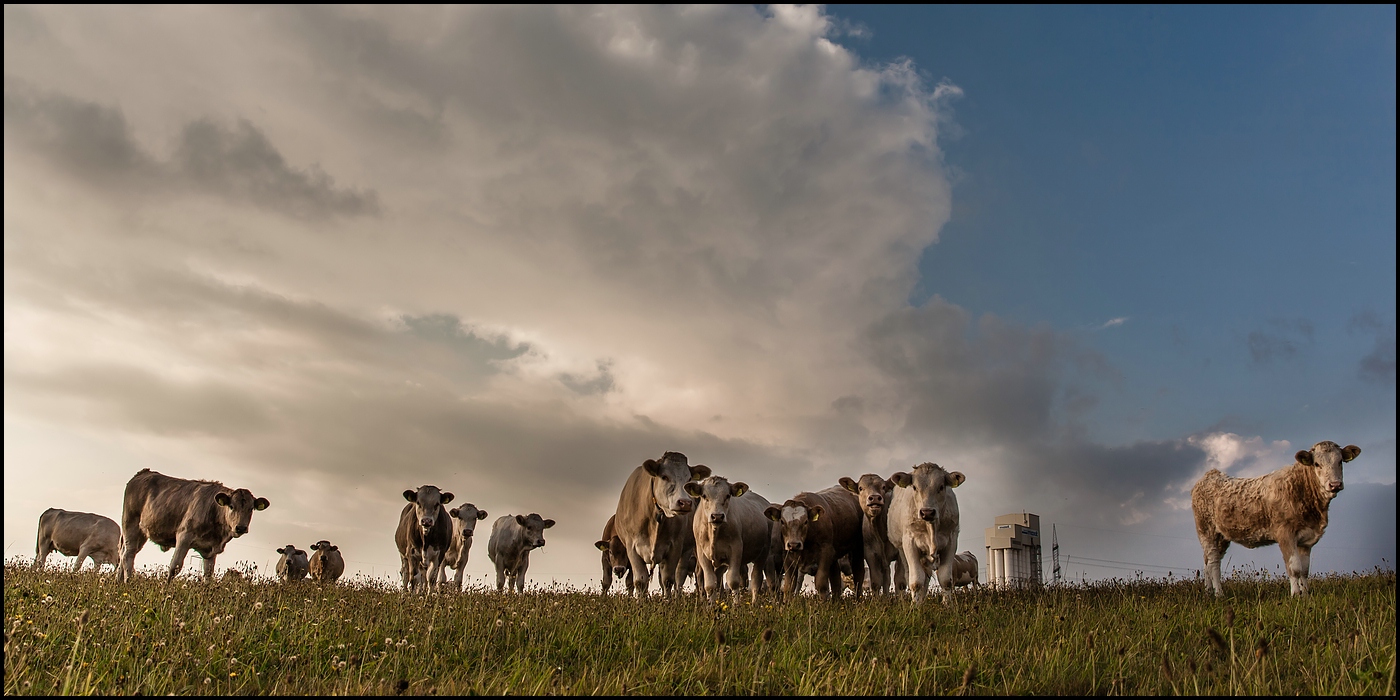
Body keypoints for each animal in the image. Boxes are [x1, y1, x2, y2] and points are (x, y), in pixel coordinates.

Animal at [118, 470, 270, 585]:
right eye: (231, 506)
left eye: (251, 509)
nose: (241, 528)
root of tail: (144, 473)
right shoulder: (184, 536)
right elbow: (175, 567)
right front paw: (165, 590)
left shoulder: (211, 549)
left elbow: (208, 575)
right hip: (130, 524)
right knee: (128, 555)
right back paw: (128, 582)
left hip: (141, 533)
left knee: (123, 554)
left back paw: (118, 583)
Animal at [610, 453, 711, 596]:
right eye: (664, 476)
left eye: (689, 478)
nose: (685, 503)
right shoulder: (631, 547)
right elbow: (640, 581)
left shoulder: (675, 546)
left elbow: (668, 580)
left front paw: (667, 600)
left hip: (686, 550)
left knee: (679, 577)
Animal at [884, 462, 963, 604]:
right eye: (915, 487)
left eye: (941, 486)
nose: (927, 512)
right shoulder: (910, 543)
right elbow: (916, 581)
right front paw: (915, 606)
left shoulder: (951, 541)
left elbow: (945, 580)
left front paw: (948, 605)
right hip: (902, 550)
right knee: (912, 575)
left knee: (926, 577)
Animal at [1187, 436, 1360, 596]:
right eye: (1317, 464)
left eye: (1340, 461)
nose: (1335, 484)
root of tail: (1211, 474)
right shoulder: (1285, 534)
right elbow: (1294, 568)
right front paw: (1296, 595)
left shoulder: (1307, 540)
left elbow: (1304, 570)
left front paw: (1306, 595)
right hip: (1206, 531)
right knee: (1213, 562)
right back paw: (1219, 594)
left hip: (1222, 536)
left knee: (1207, 562)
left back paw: (1208, 591)